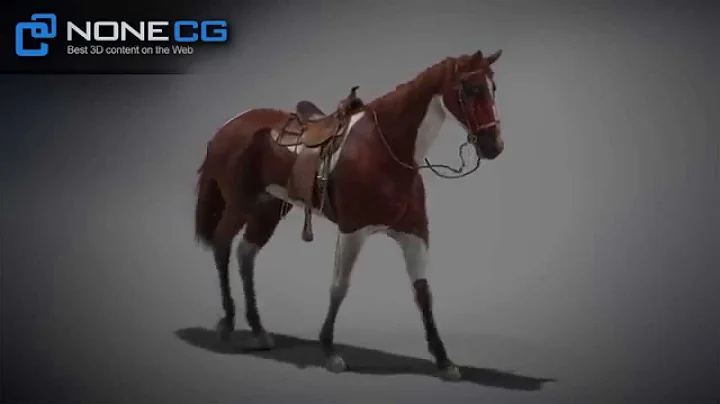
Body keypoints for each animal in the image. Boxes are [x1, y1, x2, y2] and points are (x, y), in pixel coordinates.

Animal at [194, 49, 504, 381]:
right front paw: (329, 351)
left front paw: (444, 360)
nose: (494, 146)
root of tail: (227, 128)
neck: (383, 149)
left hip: (268, 210)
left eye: (493, 88)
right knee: (222, 244)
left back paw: (258, 330)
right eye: (470, 89)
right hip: (240, 205)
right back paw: (227, 323)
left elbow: (423, 293)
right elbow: (339, 287)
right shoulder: (353, 231)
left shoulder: (414, 233)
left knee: (245, 253)